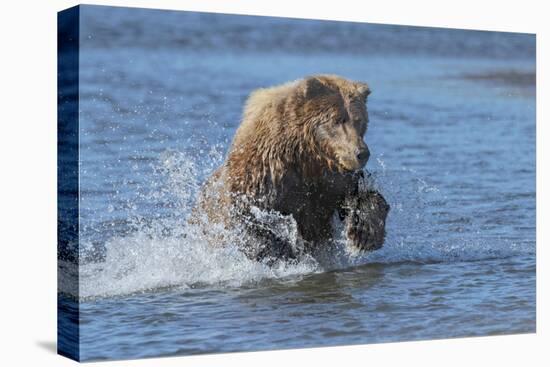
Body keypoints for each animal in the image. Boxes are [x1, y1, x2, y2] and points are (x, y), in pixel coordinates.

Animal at [192, 75, 390, 264]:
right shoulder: (264, 176)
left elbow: (360, 198)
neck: (306, 157)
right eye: (337, 120)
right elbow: (250, 218)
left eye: (359, 120)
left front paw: (365, 234)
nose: (361, 153)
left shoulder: (330, 182)